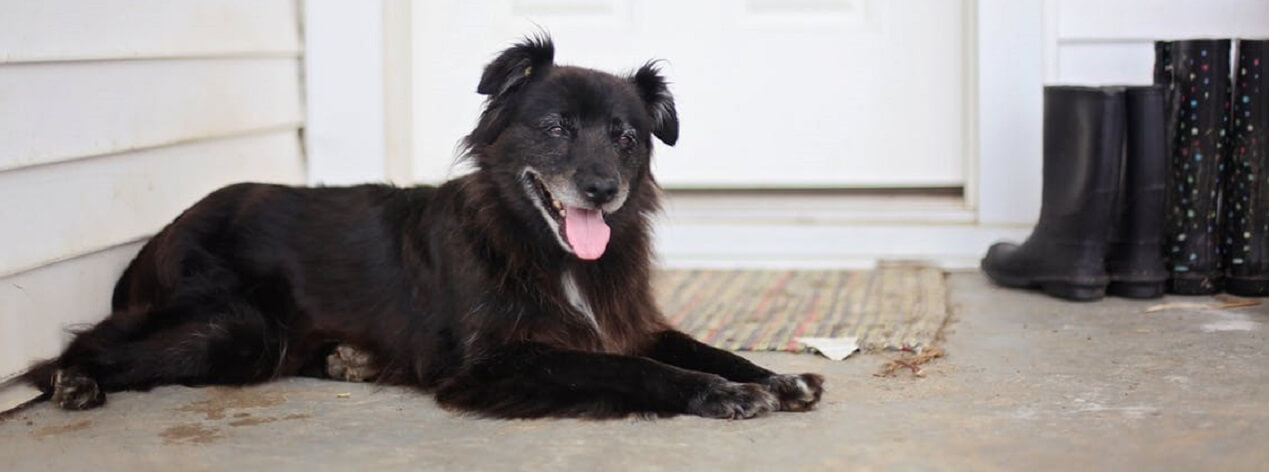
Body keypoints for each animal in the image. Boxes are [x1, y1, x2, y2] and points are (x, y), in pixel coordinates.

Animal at [29, 36, 828, 418]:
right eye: (555, 128)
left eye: (626, 136)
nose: (602, 191)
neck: (539, 245)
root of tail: (160, 235)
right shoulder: (499, 361)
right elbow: (631, 370)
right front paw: (718, 395)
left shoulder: (624, 322)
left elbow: (703, 348)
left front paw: (776, 376)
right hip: (231, 326)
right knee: (82, 347)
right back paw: (74, 382)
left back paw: (350, 360)